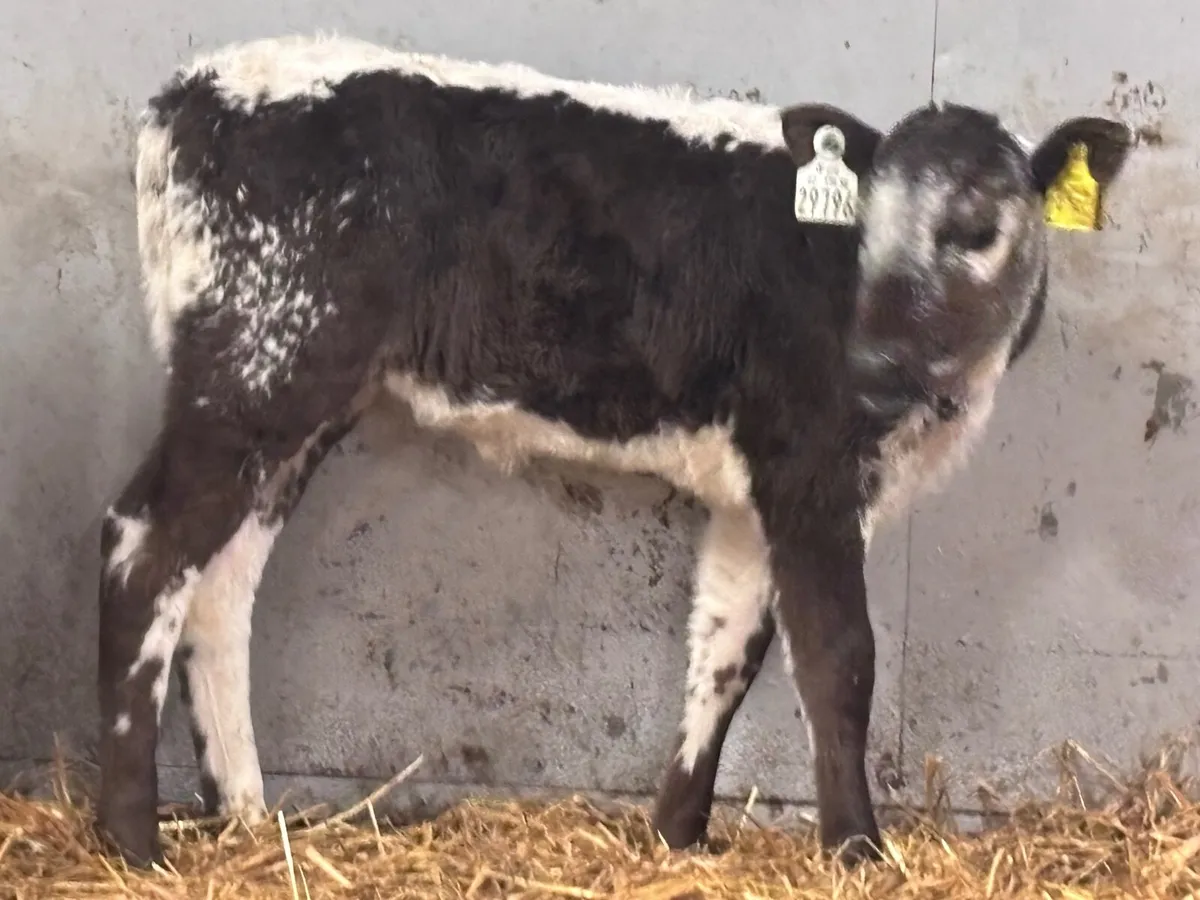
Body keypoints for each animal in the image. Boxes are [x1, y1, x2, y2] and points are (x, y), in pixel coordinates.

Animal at [95, 32, 1133, 868]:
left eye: (977, 229)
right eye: (862, 229)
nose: (872, 367)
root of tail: (191, 89)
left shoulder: (752, 492)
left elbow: (728, 645)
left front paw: (678, 833)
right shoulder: (809, 468)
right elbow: (838, 654)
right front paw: (857, 850)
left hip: (297, 393)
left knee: (221, 581)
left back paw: (245, 818)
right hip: (259, 358)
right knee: (144, 544)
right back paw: (133, 838)